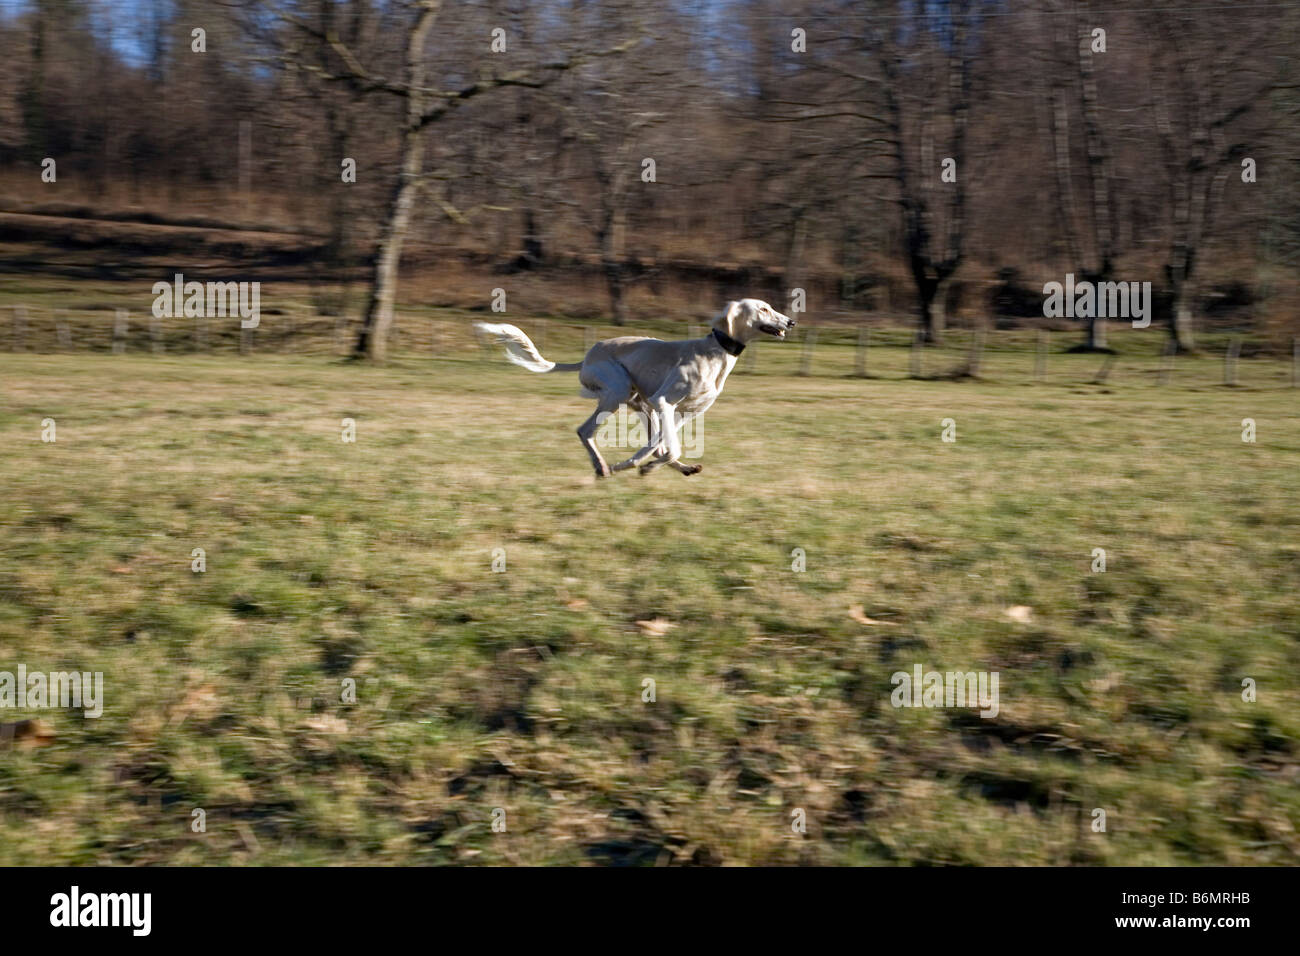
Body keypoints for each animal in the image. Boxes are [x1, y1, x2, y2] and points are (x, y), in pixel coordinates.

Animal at [470, 299, 785, 478]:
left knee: (653, 445)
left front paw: (645, 466)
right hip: (619, 393)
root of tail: (587, 356)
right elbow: (668, 448)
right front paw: (626, 466)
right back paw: (602, 468)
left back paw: (676, 468)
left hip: (641, 404)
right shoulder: (665, 402)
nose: (790, 321)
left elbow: (661, 448)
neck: (715, 351)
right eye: (764, 308)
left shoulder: (684, 412)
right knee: (584, 431)